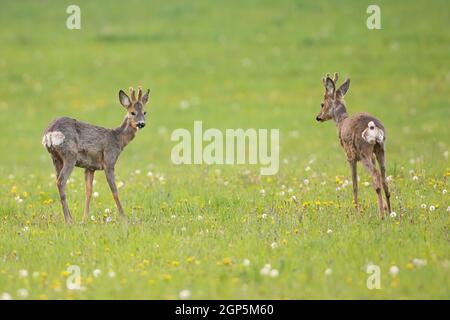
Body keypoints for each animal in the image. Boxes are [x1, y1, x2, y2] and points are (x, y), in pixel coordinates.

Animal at [41, 86, 149, 224]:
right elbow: (114, 191)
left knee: (58, 181)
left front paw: (85, 218)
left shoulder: (90, 167)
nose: (141, 123)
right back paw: (68, 221)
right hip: (70, 155)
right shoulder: (109, 161)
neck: (118, 139)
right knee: (61, 181)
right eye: (132, 112)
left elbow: (88, 192)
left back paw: (70, 218)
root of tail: (49, 132)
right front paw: (124, 217)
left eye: (145, 112)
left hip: (55, 158)